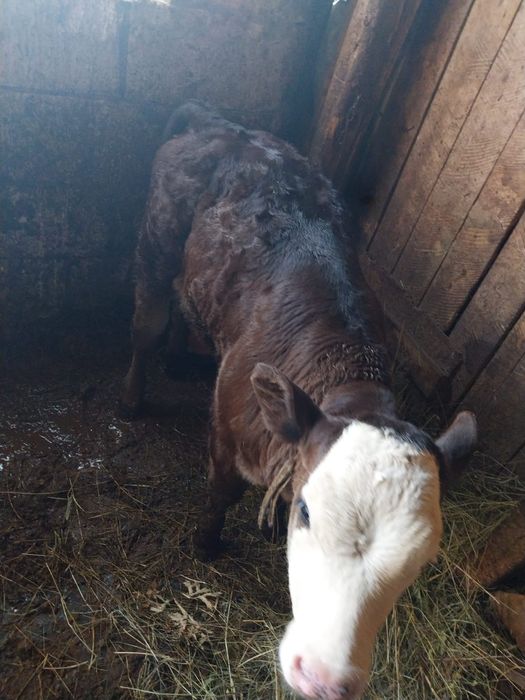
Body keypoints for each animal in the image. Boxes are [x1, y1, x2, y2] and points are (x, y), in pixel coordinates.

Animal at [120, 101, 477, 700]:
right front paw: (207, 545)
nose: (325, 679)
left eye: (423, 559)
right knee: (147, 321)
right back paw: (131, 397)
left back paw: (178, 360)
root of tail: (222, 124)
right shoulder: (228, 428)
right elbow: (221, 493)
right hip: (154, 240)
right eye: (306, 511)